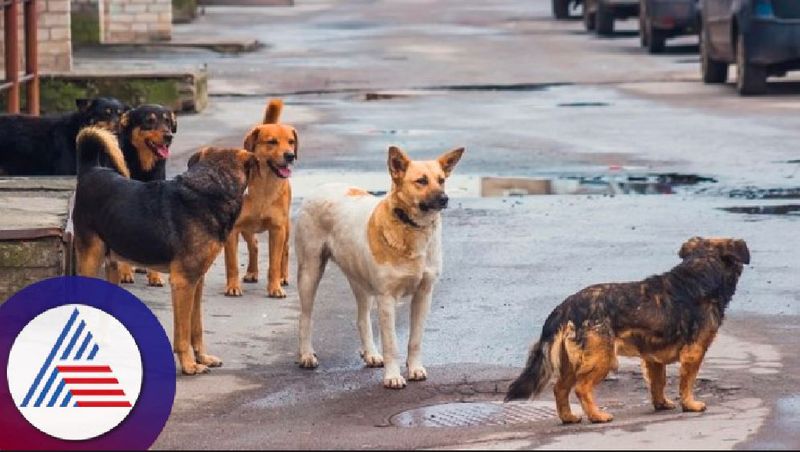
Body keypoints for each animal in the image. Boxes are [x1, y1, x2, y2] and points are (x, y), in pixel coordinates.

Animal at [74, 126, 258, 374]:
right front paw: (189, 365)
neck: (212, 187)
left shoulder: (196, 281)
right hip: (91, 258)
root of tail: (90, 170)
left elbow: (196, 327)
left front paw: (202, 357)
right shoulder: (183, 282)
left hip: (111, 265)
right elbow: (182, 333)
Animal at [112, 104, 178, 286]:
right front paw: (125, 273)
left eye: (168, 121)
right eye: (149, 121)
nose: (169, 137)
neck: (143, 167)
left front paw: (154, 276)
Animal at [223, 98, 296, 300]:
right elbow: (232, 263)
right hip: (247, 228)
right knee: (253, 245)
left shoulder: (277, 229)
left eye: (291, 142)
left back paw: (283, 277)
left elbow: (274, 263)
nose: (290, 156)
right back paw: (252, 272)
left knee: (285, 250)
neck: (264, 186)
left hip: (286, 228)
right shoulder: (232, 230)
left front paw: (275, 287)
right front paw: (233, 286)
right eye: (272, 142)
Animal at [296, 146, 466, 388]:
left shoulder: (424, 295)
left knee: (361, 319)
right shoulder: (386, 298)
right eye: (421, 181)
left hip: (361, 282)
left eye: (441, 180)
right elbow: (391, 344)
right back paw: (306, 354)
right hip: (310, 272)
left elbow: (415, 340)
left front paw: (414, 368)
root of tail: (322, 187)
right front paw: (393, 376)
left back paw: (370, 353)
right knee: (305, 317)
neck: (410, 227)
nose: (444, 199)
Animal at [506, 237, 752, 424]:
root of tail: (565, 307)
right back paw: (597, 416)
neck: (701, 271)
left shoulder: (653, 358)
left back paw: (568, 417)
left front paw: (661, 404)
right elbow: (687, 382)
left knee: (559, 389)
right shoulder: (694, 352)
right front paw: (690, 404)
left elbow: (658, 383)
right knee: (581, 388)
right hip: (602, 358)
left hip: (571, 362)